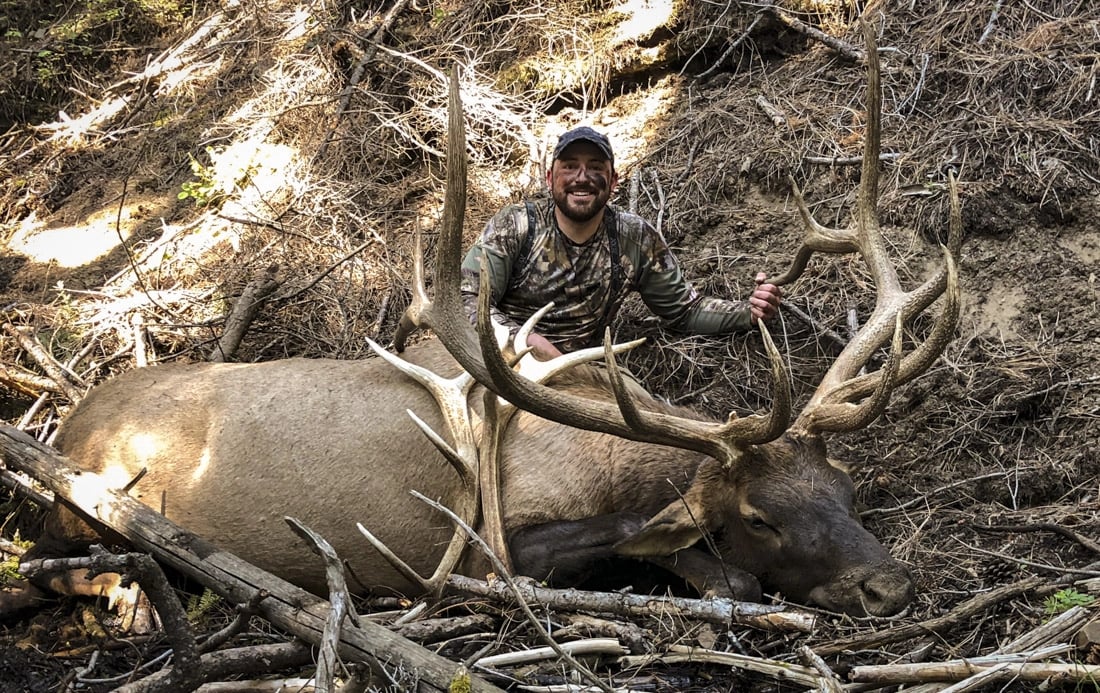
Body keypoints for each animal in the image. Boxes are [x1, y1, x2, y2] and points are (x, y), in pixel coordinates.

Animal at [7, 20, 958, 619]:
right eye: (759, 516)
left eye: (848, 489)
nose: (890, 587)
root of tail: (66, 420)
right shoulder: (482, 551)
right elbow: (679, 555)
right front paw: (713, 568)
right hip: (76, 512)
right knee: (49, 568)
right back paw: (128, 595)